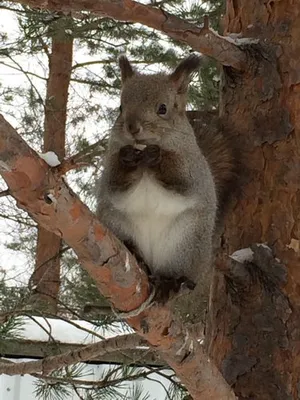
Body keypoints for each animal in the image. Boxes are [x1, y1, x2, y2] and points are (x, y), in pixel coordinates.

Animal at [96, 54, 234, 304]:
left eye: (163, 108)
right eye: (120, 107)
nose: (132, 127)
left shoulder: (193, 169)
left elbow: (182, 180)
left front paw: (157, 156)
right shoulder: (110, 170)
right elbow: (114, 184)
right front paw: (128, 158)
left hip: (186, 242)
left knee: (176, 273)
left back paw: (170, 283)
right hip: (116, 224)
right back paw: (137, 257)